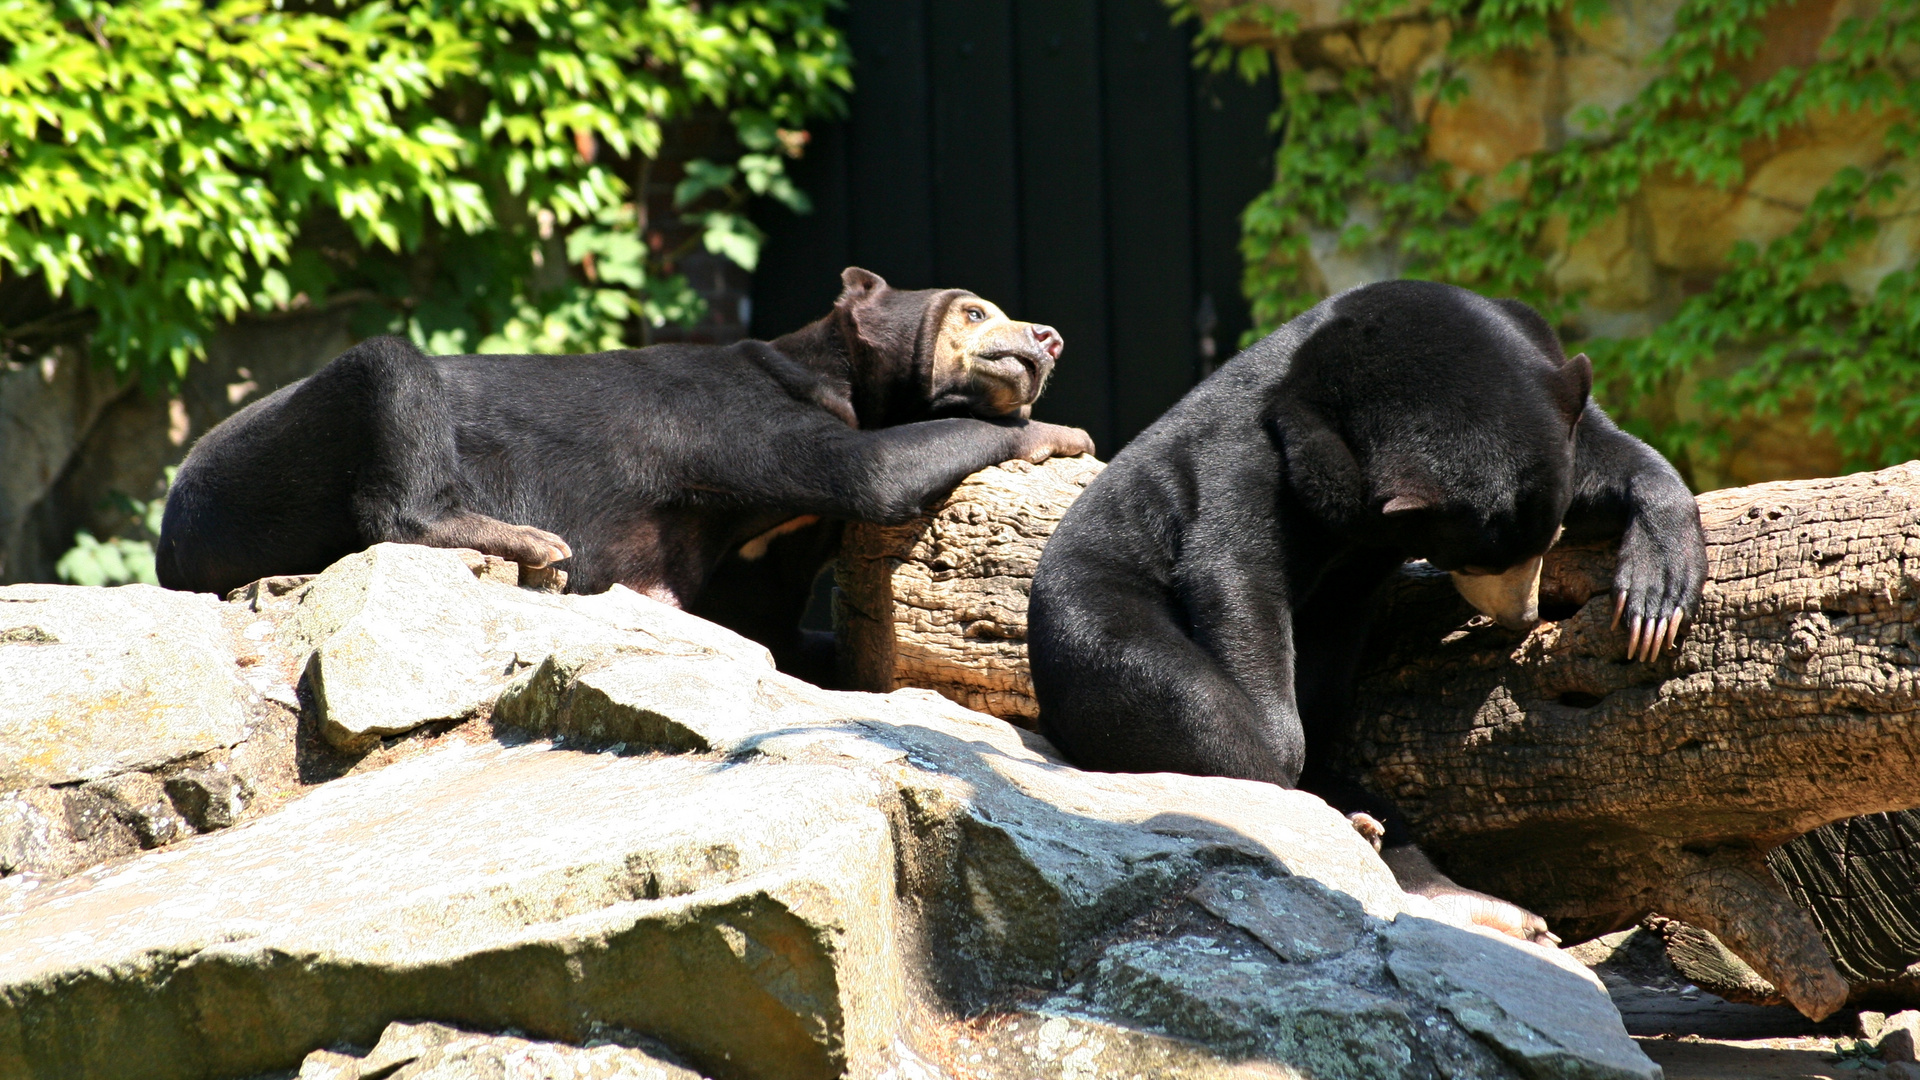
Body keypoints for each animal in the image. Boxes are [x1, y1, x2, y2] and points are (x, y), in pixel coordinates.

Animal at [161, 265, 1098, 676]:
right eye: (973, 311)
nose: (1049, 337)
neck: (835, 374)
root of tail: (172, 540)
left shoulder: (769, 551)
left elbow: (761, 619)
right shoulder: (735, 419)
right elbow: (864, 470)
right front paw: (1068, 433)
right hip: (273, 452)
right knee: (390, 382)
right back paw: (531, 547)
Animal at [1029, 278, 1704, 941]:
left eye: (1547, 543)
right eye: (1475, 561)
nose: (1524, 615)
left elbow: (1600, 452)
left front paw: (1657, 598)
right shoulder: (1254, 443)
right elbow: (1233, 568)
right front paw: (1282, 751)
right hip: (1090, 603)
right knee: (1186, 704)